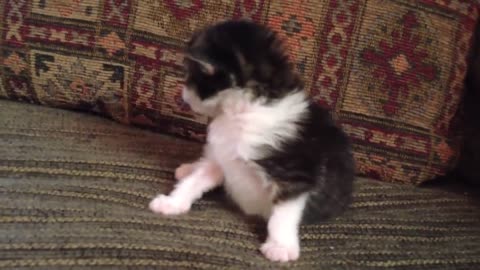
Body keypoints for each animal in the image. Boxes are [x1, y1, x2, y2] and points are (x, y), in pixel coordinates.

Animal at [148, 20, 354, 262]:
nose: (183, 97)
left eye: (194, 76)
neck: (241, 114)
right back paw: (188, 168)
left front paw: (280, 246)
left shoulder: (297, 174)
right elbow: (195, 181)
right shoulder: (221, 158)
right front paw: (172, 202)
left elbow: (283, 214)